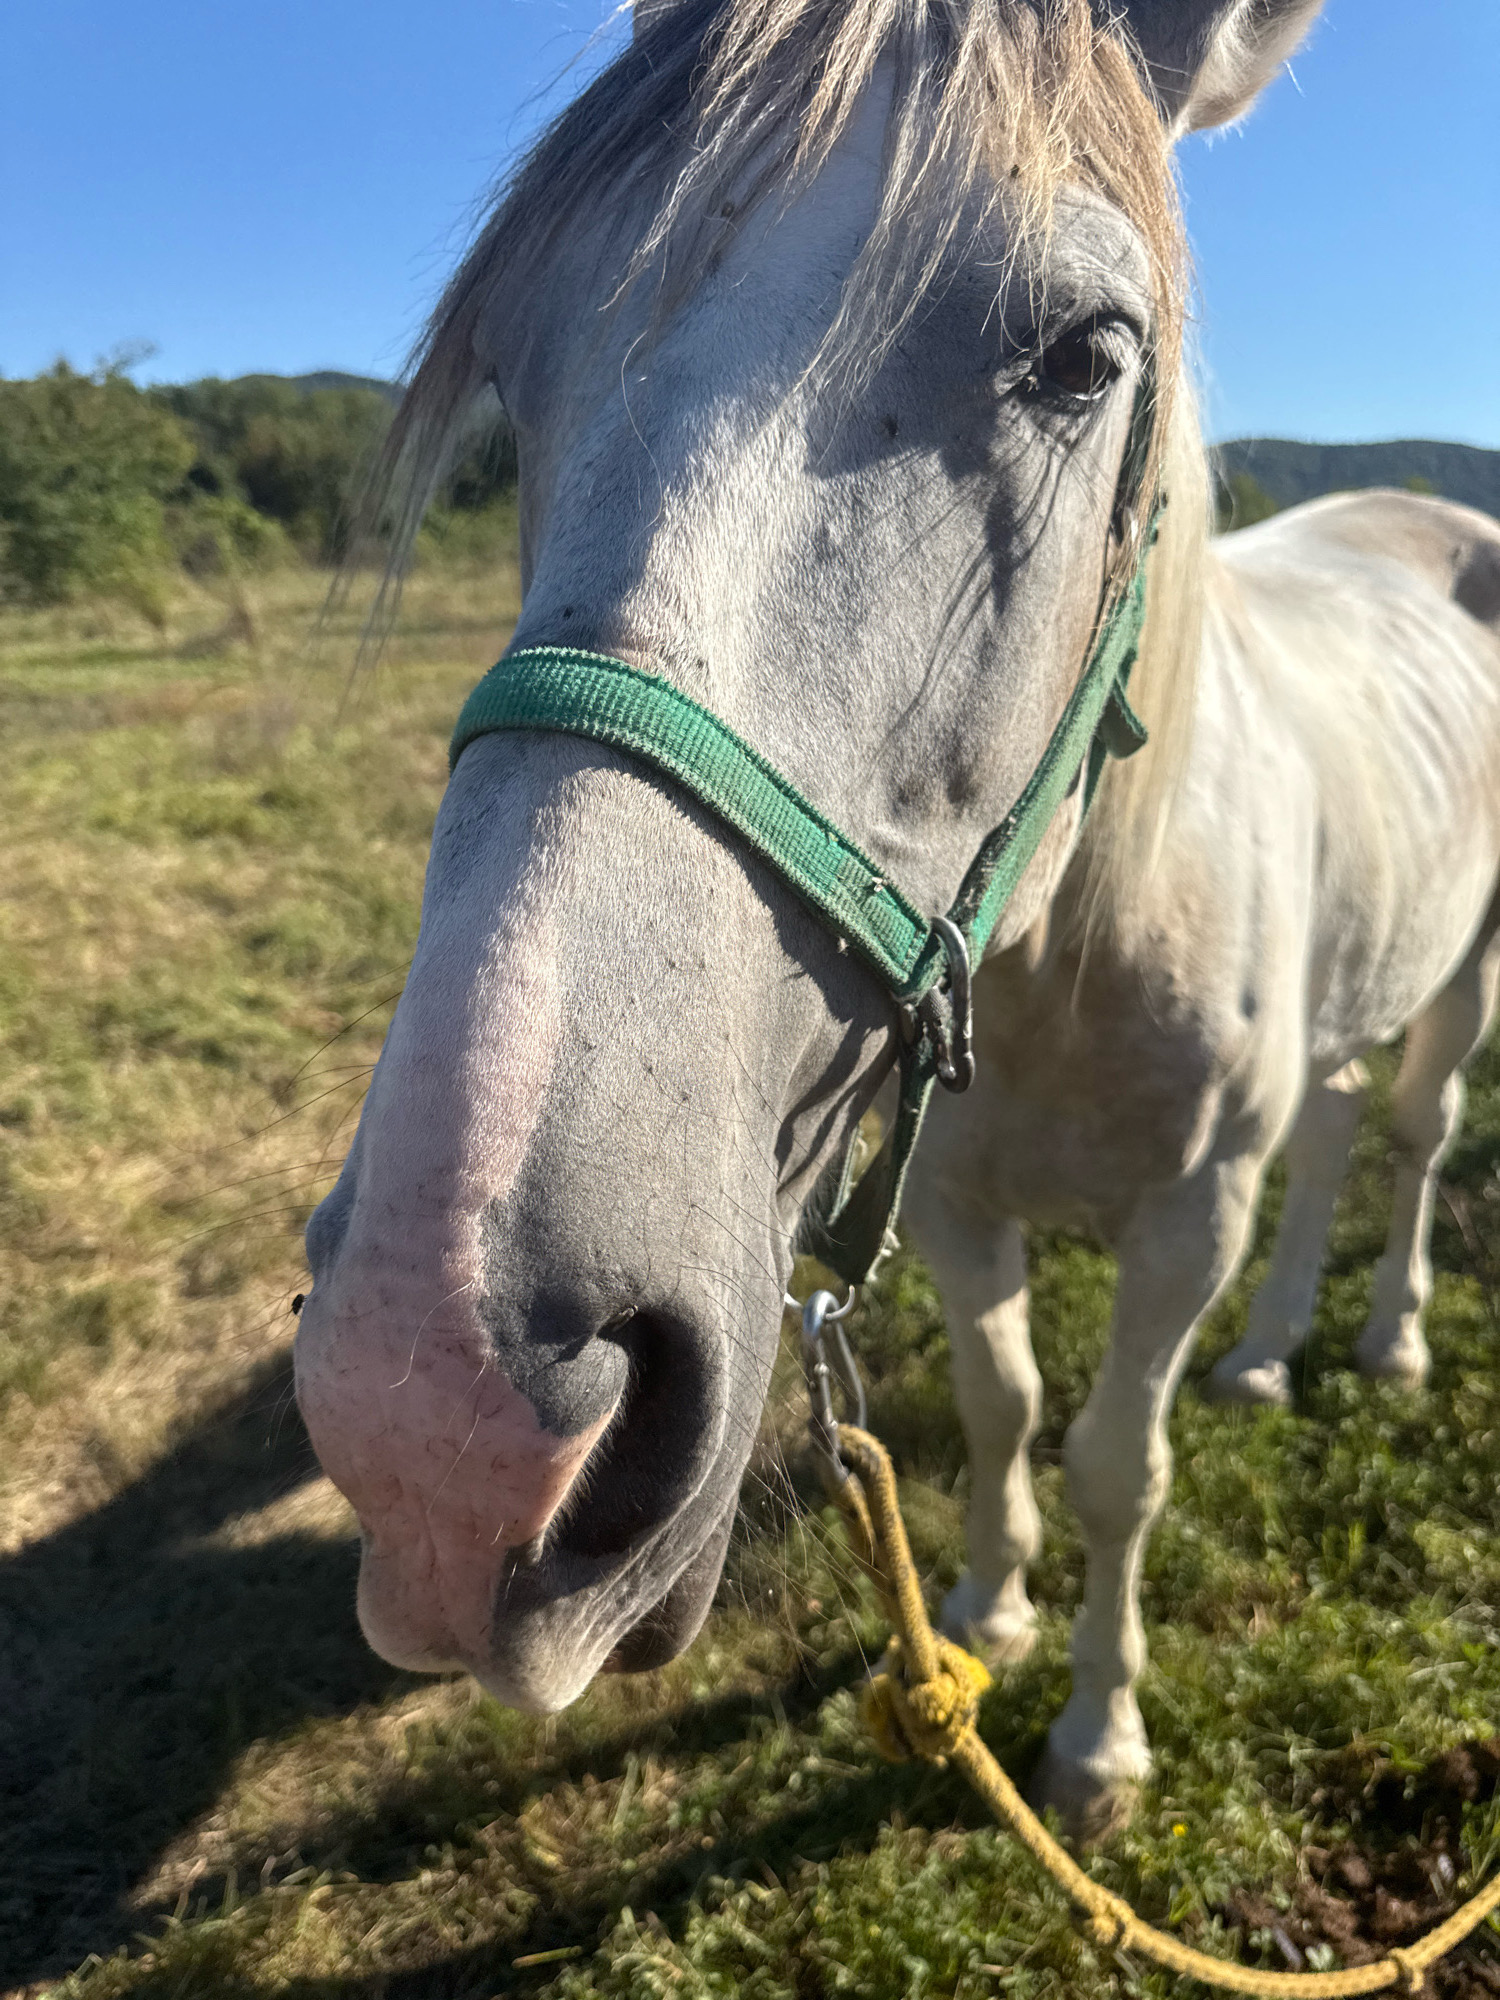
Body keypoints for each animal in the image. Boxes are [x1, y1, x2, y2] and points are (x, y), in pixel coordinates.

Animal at [293, 0, 1500, 1835]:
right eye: (511, 364)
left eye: (1082, 354)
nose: (443, 1413)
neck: (1071, 962)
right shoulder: (946, 1203)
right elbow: (1005, 1407)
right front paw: (988, 1617)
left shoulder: (1187, 1216)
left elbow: (1117, 1466)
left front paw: (1097, 1743)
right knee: (1346, 1124)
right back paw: (1273, 1353)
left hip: (1466, 978)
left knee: (1416, 1137)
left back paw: (1387, 1344)